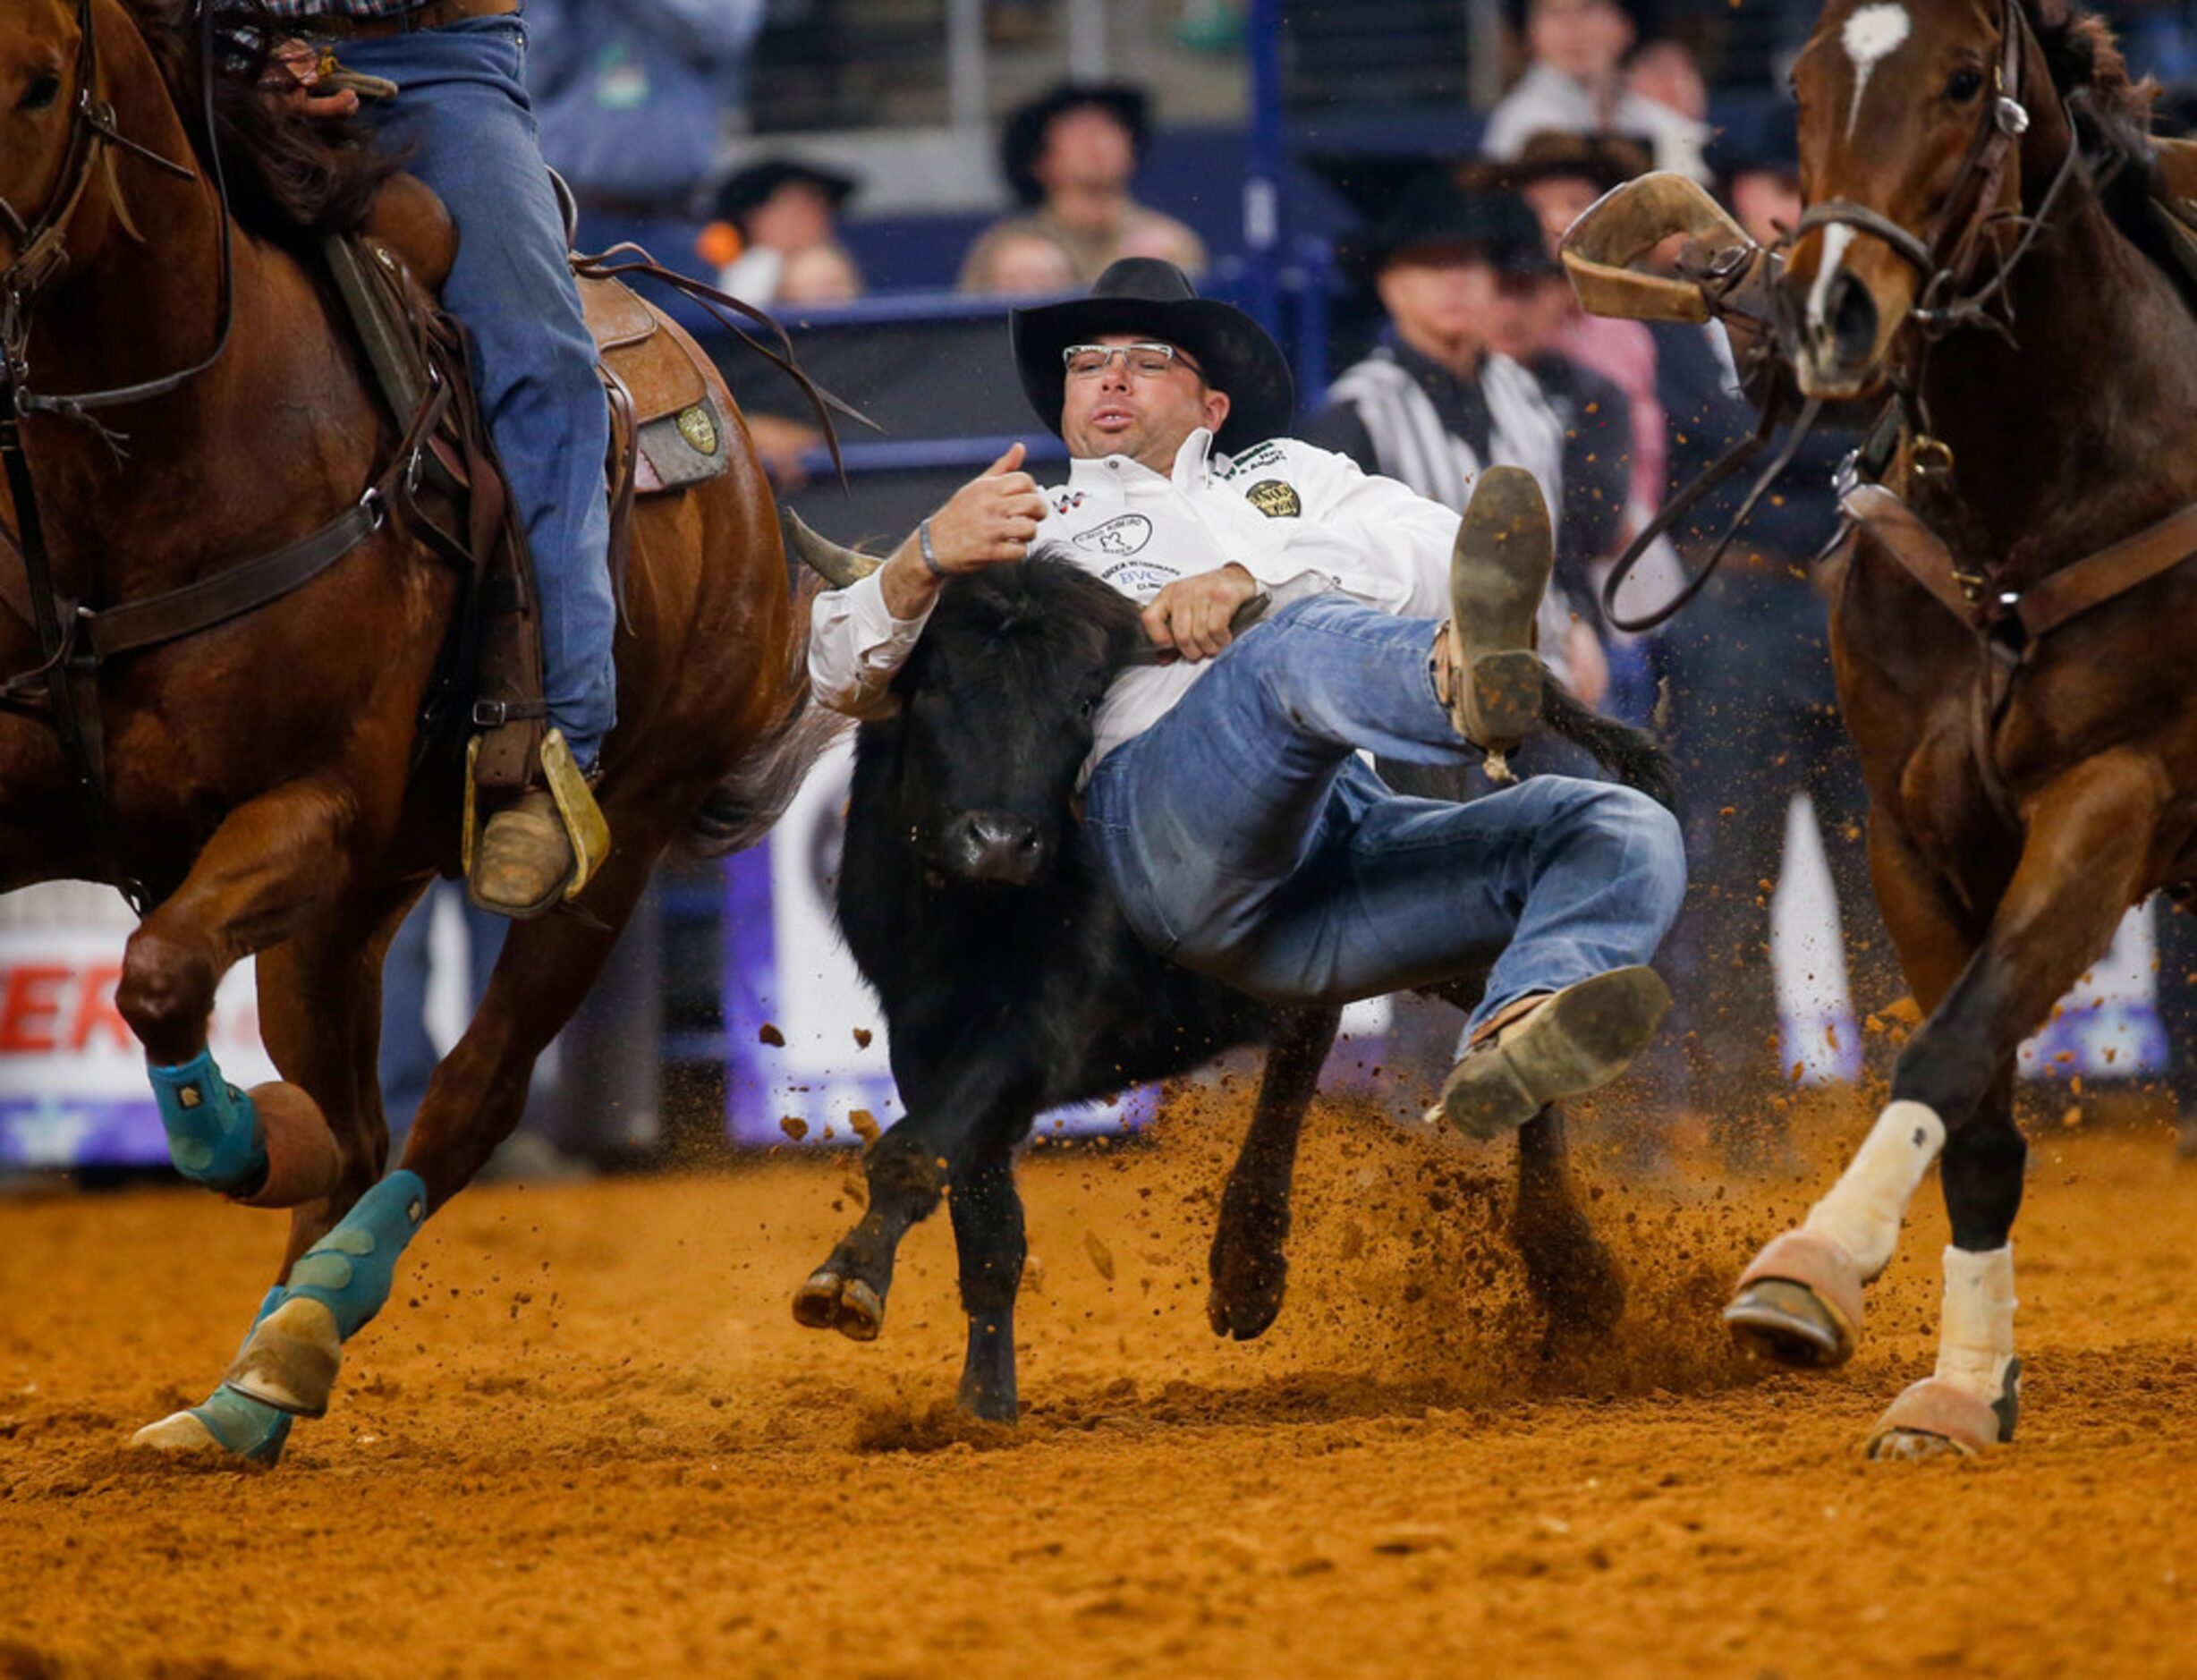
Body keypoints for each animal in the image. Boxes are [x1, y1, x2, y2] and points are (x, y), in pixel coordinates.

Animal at [2, 0, 826, 1458]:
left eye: (42, 85)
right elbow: (179, 990)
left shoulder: (307, 804)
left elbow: (156, 977)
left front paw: (251, 1141)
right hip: (354, 898)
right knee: (363, 1121)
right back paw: (249, 1386)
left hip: (602, 851)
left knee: (460, 1101)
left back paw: (299, 1328)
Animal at [1687, 0, 2197, 1449]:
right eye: (1804, 82)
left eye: (1968, 81)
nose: (1828, 311)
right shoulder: (1911, 830)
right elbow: (1973, 1109)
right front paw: (1964, 1383)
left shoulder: (2119, 794)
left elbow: (1955, 1040)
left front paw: (1817, 1253)